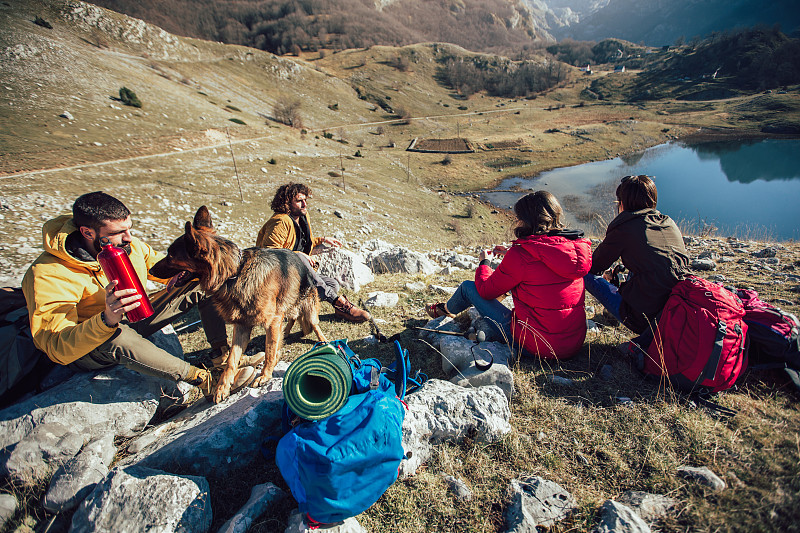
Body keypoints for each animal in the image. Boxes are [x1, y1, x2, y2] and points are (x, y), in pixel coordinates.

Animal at [152, 206, 326, 402]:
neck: (235, 274)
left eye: (170, 255)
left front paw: (265, 375)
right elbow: (231, 359)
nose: (151, 270)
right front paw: (222, 387)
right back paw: (287, 332)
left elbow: (269, 350)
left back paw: (322, 339)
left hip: (308, 305)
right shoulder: (242, 326)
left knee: (312, 323)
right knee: (292, 318)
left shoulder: (272, 321)